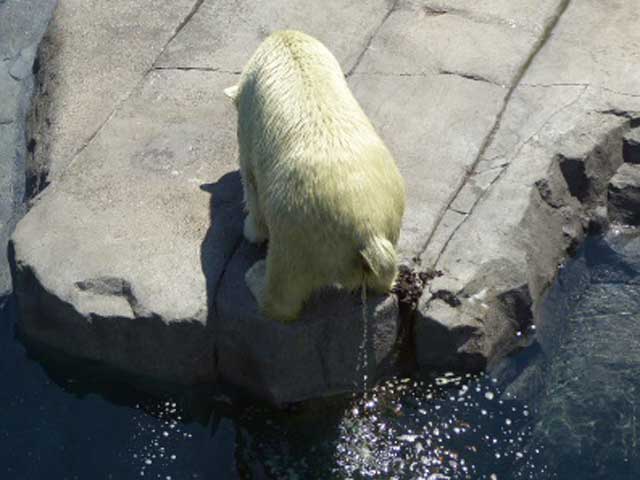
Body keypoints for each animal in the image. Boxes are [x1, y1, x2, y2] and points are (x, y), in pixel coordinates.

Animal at [225, 29, 404, 322]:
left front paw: (251, 230)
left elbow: (250, 182)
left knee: (283, 284)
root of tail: (367, 230)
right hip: (391, 208)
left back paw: (256, 276)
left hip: (298, 232)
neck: (287, 43)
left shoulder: (249, 123)